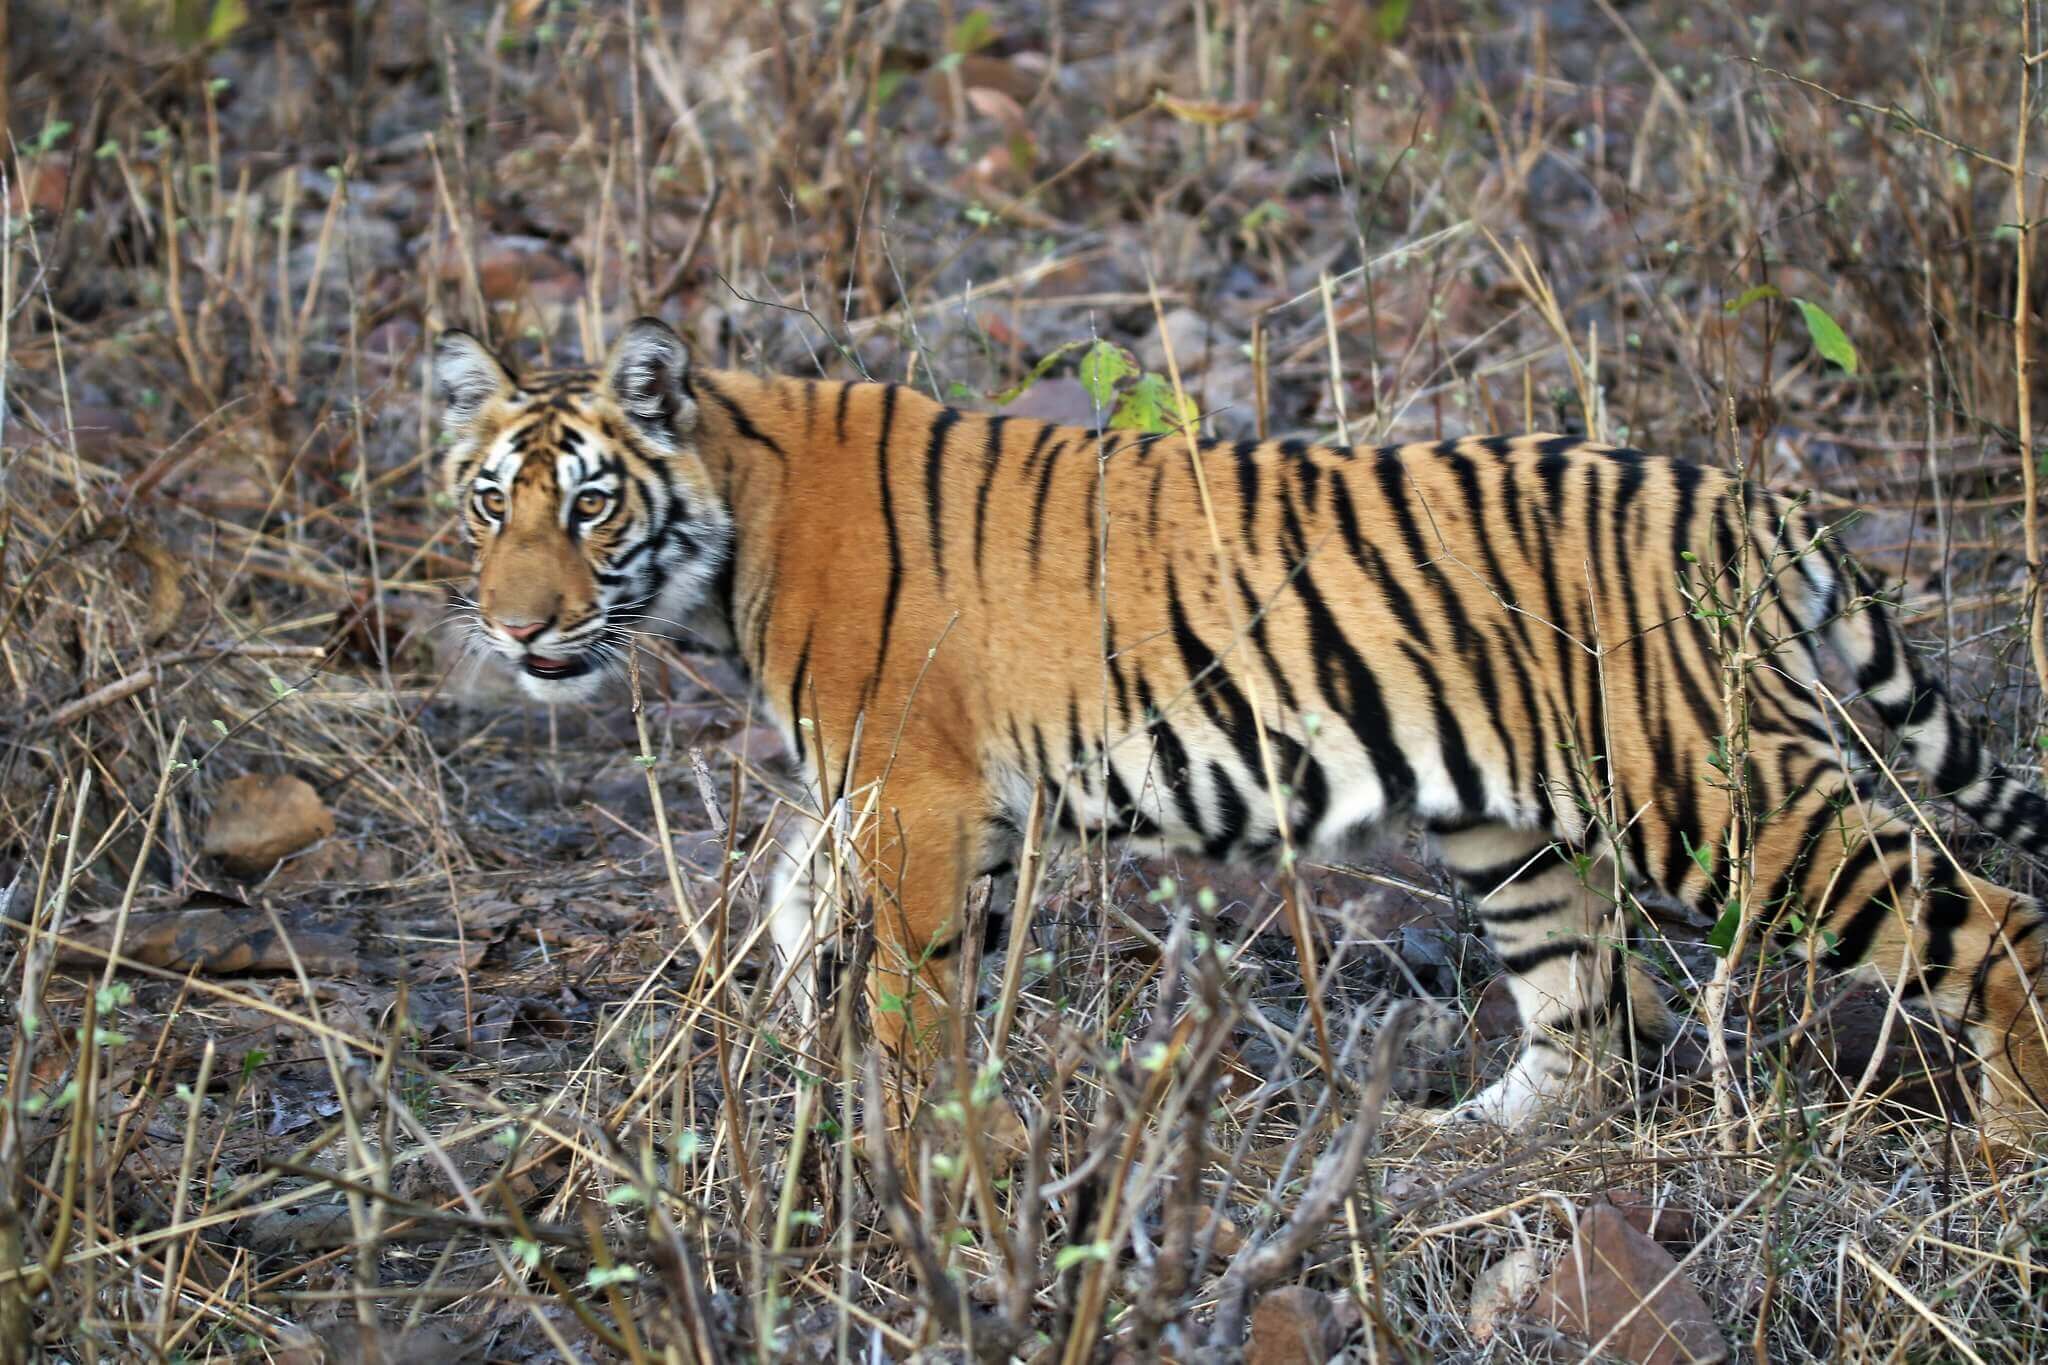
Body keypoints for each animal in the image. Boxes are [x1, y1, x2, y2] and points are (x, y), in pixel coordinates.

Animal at [436, 315, 2048, 1146]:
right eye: (489, 502)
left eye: (591, 504)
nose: (515, 628)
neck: (727, 533)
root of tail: (1745, 494)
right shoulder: (943, 803)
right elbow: (839, 924)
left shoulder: (917, 791)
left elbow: (910, 991)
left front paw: (913, 1149)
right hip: (1515, 828)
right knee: (1581, 1017)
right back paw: (1451, 1143)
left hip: (1721, 796)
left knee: (1990, 922)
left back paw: (2009, 1145)